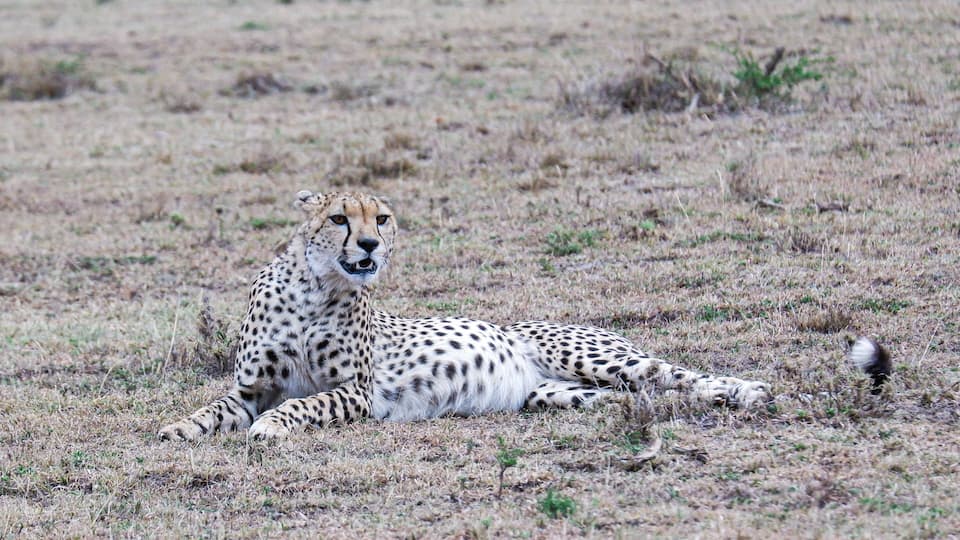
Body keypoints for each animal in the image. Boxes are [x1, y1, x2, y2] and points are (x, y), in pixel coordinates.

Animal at [158, 190, 772, 442]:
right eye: (338, 218)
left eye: (381, 217)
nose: (370, 244)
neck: (315, 287)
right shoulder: (250, 388)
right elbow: (213, 408)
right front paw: (178, 428)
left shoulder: (355, 392)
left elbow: (303, 403)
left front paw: (269, 429)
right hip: (562, 394)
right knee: (645, 397)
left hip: (600, 359)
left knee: (678, 375)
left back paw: (748, 392)